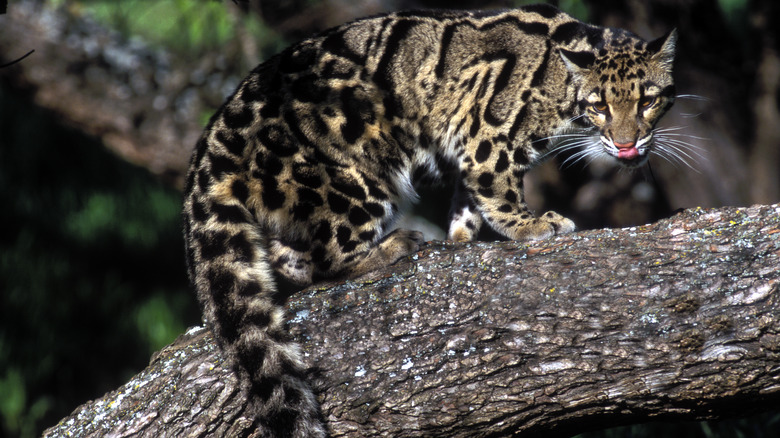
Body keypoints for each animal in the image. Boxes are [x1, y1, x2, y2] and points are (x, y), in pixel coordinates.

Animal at [183, 3, 676, 434]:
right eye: (600, 106)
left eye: (648, 101)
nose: (628, 145)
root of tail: (209, 151)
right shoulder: (487, 136)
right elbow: (497, 190)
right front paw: (530, 224)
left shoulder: (467, 151)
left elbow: (468, 199)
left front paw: (461, 236)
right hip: (358, 178)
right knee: (323, 257)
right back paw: (394, 245)